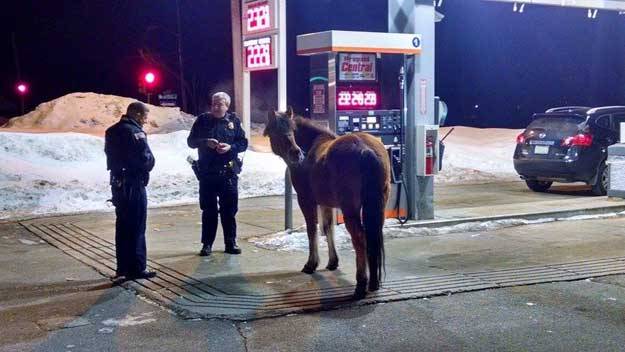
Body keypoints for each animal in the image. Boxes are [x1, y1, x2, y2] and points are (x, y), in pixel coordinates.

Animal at [264, 108, 390, 300]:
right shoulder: (326, 203)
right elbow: (328, 227)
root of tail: (366, 149)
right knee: (373, 237)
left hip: (350, 208)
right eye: (276, 130)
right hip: (379, 206)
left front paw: (311, 264)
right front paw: (332, 262)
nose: (296, 153)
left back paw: (361, 285)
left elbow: (312, 230)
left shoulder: (306, 200)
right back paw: (373, 283)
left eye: (292, 129)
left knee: (359, 238)